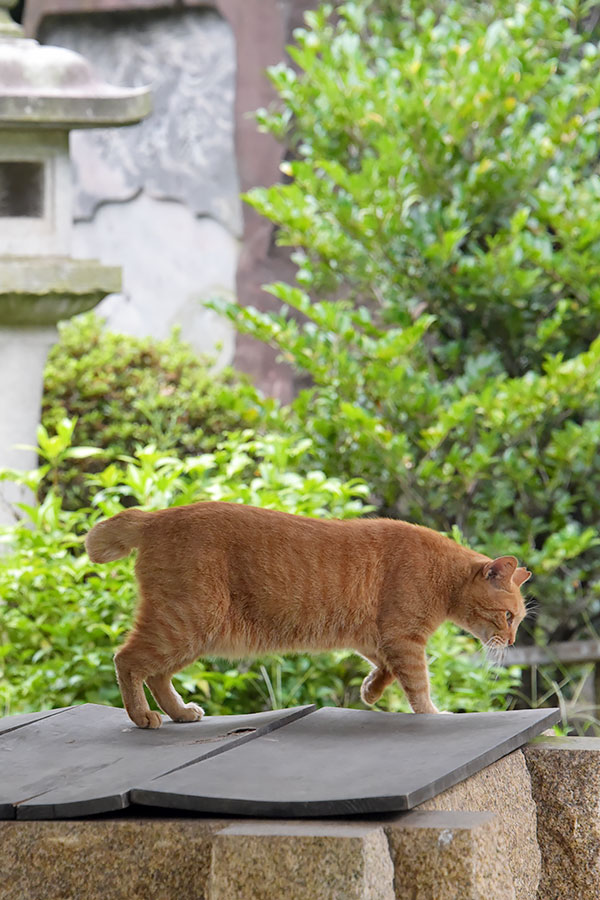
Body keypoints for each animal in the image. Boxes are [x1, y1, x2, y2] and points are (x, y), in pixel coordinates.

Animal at [85, 502, 528, 728]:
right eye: (508, 617)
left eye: (518, 622)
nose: (512, 642)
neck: (441, 574)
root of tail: (153, 516)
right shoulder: (404, 638)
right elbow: (418, 685)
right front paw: (434, 715)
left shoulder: (376, 636)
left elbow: (384, 668)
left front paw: (370, 691)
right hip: (187, 623)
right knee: (127, 660)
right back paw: (143, 716)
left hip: (193, 634)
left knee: (157, 674)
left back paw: (179, 713)